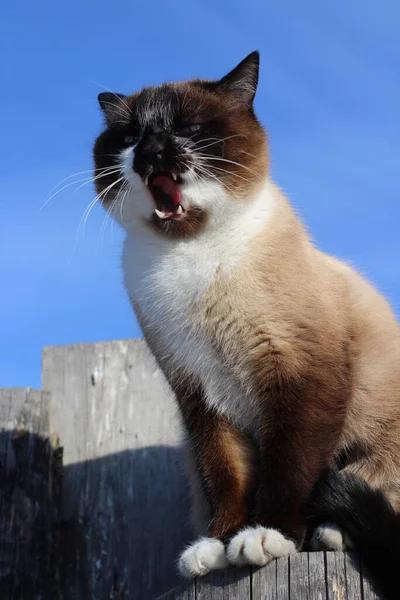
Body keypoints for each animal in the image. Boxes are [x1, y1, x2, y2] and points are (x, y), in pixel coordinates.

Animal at [92, 52, 400, 580]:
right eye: (131, 136)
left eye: (189, 129)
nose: (151, 152)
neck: (189, 257)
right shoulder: (199, 393)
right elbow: (226, 474)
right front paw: (219, 544)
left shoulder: (297, 374)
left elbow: (288, 467)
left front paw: (265, 536)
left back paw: (328, 533)